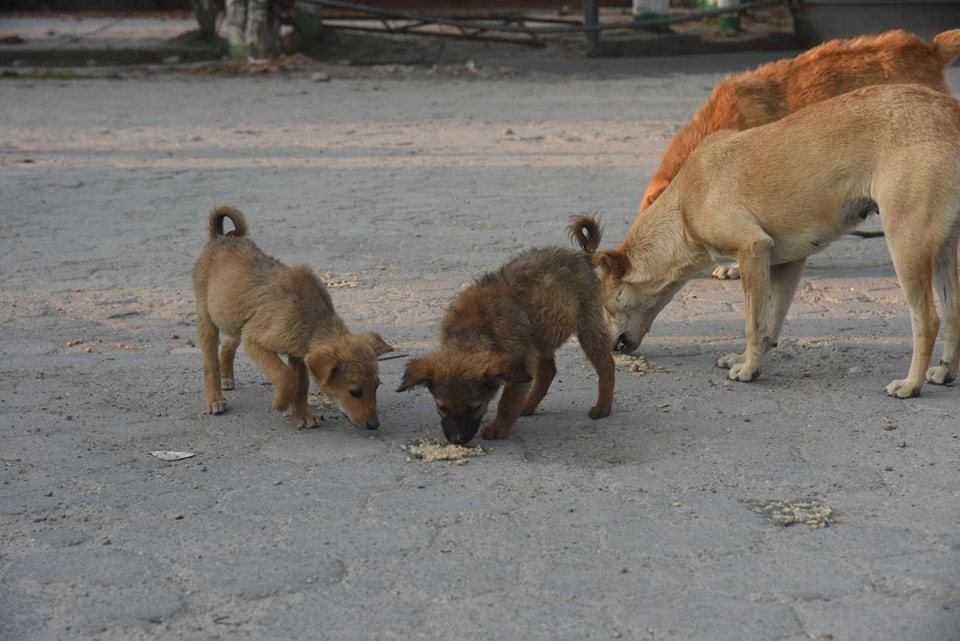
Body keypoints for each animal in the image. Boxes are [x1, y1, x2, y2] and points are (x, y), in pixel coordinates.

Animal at [398, 218, 616, 442]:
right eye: (441, 407)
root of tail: (582, 257)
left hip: (588, 325)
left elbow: (507, 402)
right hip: (541, 334)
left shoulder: (519, 363)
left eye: (474, 408)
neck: (472, 331)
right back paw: (528, 405)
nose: (458, 440)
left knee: (606, 365)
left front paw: (498, 428)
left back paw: (602, 407)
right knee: (548, 371)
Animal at [596, 83, 960, 398]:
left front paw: (748, 369)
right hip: (942, 253)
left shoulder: (752, 252)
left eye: (610, 305)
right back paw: (944, 372)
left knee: (928, 320)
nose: (611, 348)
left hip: (906, 246)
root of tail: (949, 110)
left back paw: (911, 385)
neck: (684, 207)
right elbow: (769, 322)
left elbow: (753, 324)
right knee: (953, 312)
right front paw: (750, 361)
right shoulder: (786, 265)